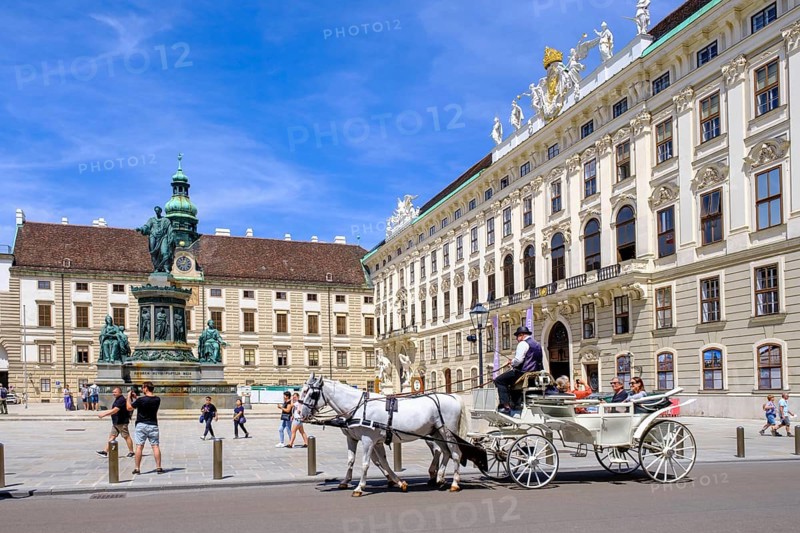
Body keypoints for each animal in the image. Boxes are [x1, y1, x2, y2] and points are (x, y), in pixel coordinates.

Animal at [300, 373, 469, 497]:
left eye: (311, 394)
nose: (301, 414)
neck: (359, 407)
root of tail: (453, 396)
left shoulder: (368, 440)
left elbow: (366, 463)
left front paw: (359, 487)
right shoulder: (355, 438)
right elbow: (358, 461)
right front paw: (398, 482)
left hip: (448, 433)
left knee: (455, 453)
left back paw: (454, 483)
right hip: (436, 432)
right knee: (445, 452)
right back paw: (439, 477)